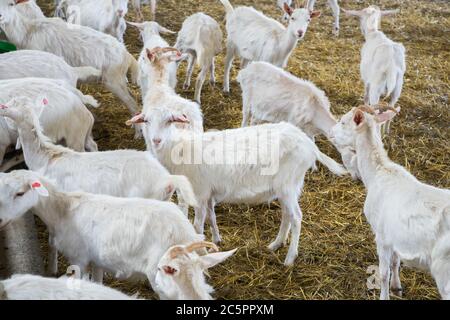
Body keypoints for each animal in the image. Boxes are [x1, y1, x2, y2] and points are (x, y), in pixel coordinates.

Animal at [0, 97, 199, 278]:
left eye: (13, 103)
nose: (2, 106)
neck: (46, 157)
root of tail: (166, 178)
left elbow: (51, 241)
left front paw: (52, 268)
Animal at [0, 170, 237, 300]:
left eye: (20, 193)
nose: (1, 220)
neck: (62, 210)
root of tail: (182, 230)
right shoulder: (96, 260)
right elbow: (97, 282)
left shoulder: (79, 258)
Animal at [130, 107, 348, 264]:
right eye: (146, 121)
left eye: (169, 121)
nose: (156, 140)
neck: (179, 148)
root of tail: (308, 143)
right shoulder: (208, 192)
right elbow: (211, 216)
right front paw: (216, 240)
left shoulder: (200, 192)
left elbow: (197, 224)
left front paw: (202, 250)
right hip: (288, 187)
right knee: (288, 214)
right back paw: (276, 244)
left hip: (288, 184)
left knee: (297, 217)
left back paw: (290, 258)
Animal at [330, 105, 450, 300]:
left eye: (343, 122)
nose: (331, 133)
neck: (378, 172)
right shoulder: (395, 236)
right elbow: (395, 262)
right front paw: (397, 287)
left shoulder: (382, 236)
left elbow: (384, 273)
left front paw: (384, 294)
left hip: (444, 271)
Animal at [342, 6, 406, 134]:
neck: (373, 33)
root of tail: (391, 67)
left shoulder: (367, 80)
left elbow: (365, 97)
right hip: (397, 89)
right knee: (391, 109)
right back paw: (386, 131)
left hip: (375, 90)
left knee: (376, 112)